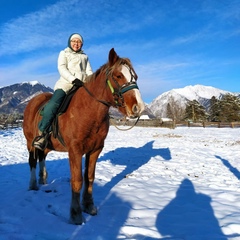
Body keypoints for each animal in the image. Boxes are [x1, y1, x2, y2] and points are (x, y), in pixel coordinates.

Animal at [22, 48, 144, 225]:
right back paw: (33, 185)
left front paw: (89, 206)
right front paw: (76, 214)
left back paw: (43, 179)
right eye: (118, 76)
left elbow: (89, 177)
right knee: (32, 161)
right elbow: (77, 180)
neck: (87, 111)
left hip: (47, 145)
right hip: (30, 142)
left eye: (135, 77)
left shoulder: (95, 150)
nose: (138, 107)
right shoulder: (75, 151)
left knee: (42, 157)